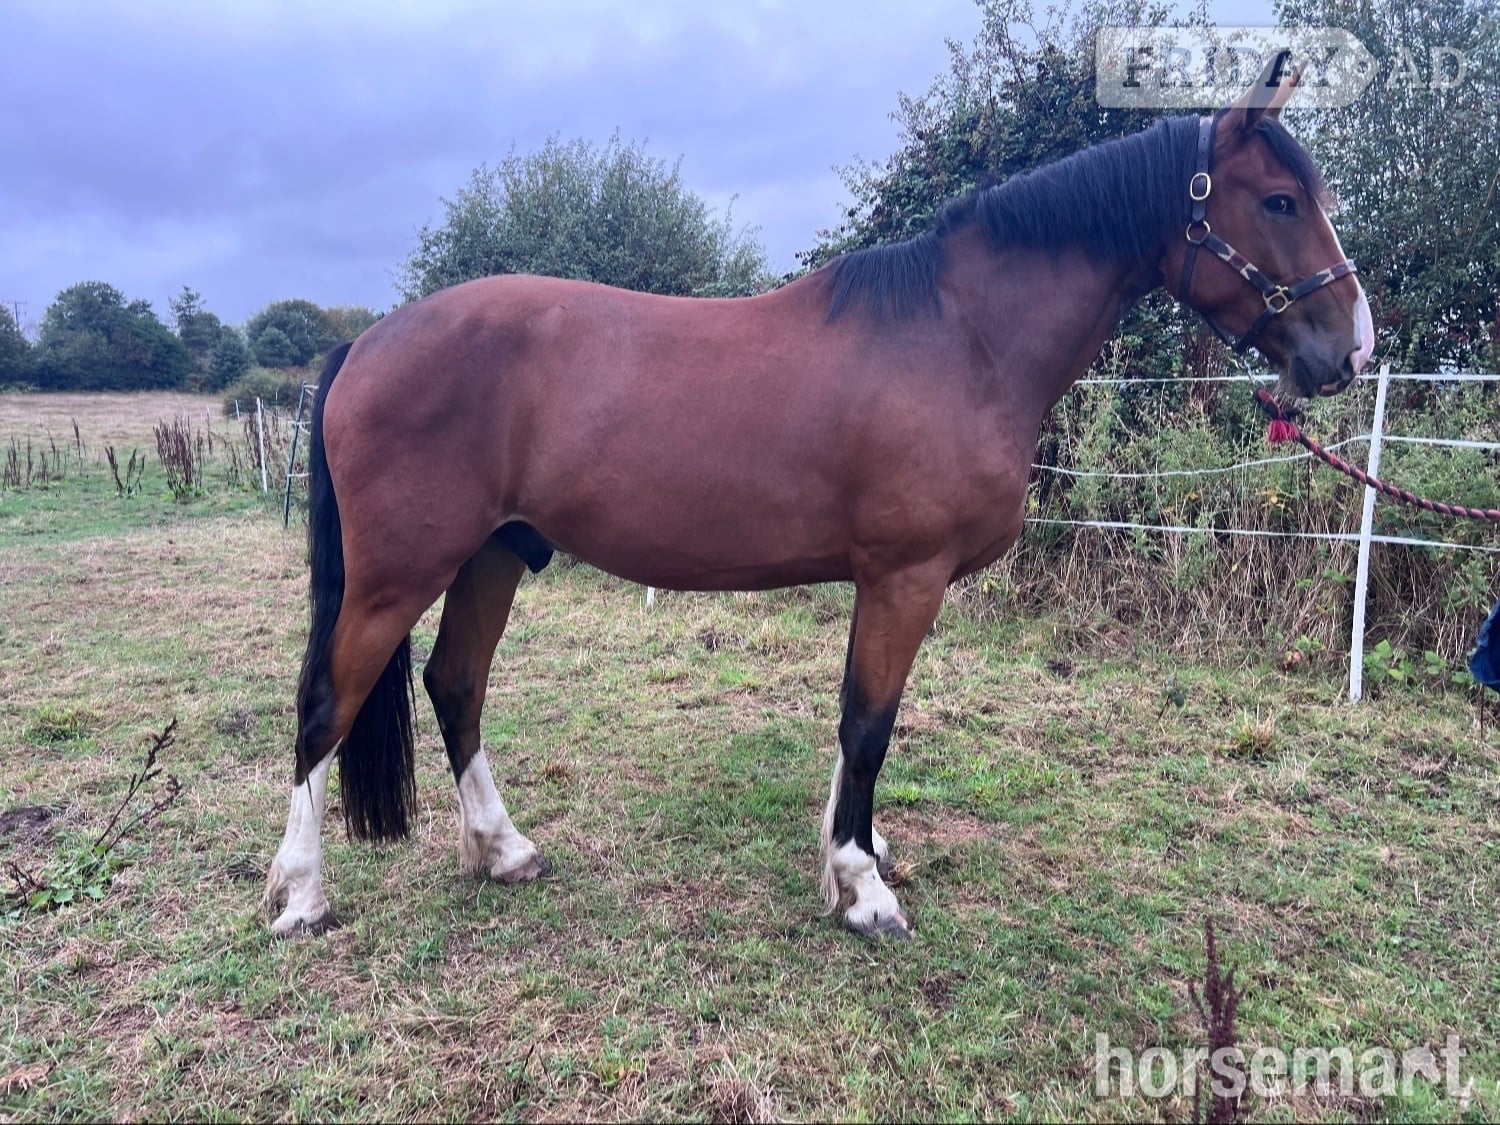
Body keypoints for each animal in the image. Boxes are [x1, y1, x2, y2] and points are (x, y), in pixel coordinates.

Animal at [265, 71, 1373, 940]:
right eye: (1280, 200)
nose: (1353, 348)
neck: (962, 337)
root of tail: (367, 341)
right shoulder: (905, 576)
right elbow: (868, 722)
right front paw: (862, 889)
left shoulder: (882, 581)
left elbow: (859, 727)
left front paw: (859, 850)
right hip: (398, 574)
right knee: (326, 704)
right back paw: (301, 898)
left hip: (494, 554)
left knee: (454, 685)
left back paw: (503, 850)